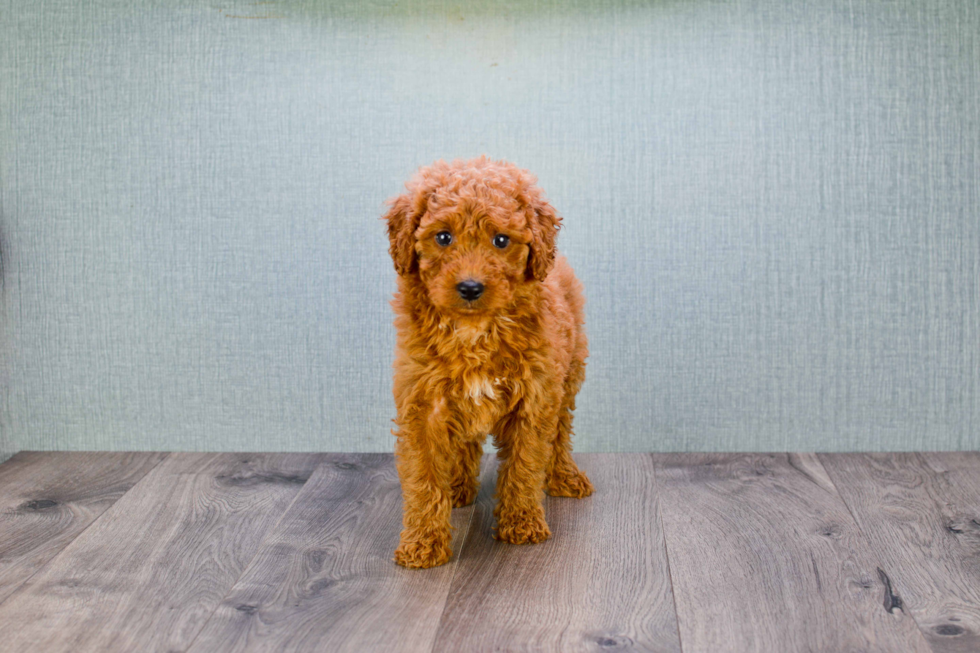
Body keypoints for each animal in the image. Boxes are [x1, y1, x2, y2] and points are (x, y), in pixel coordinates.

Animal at [384, 157, 592, 564]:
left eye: (501, 240)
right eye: (443, 237)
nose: (470, 287)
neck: (474, 329)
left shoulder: (534, 398)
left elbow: (526, 464)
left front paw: (522, 524)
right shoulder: (422, 402)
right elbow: (423, 477)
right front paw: (422, 543)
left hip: (570, 373)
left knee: (561, 432)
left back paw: (564, 476)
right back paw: (458, 486)